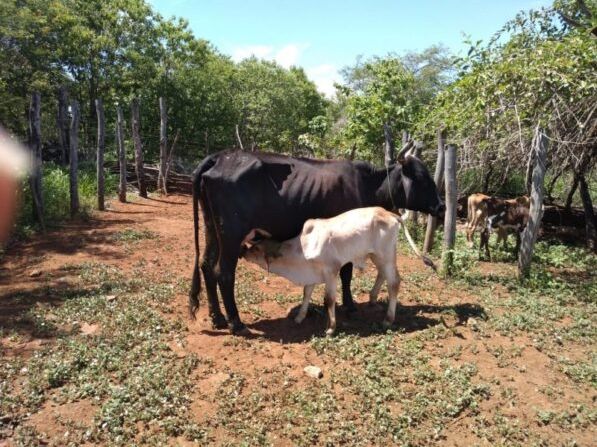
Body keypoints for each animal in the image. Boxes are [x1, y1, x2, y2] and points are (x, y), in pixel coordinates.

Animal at [241, 208, 434, 334]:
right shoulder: (311, 274)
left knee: (394, 283)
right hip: (376, 256)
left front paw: (331, 327)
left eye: (256, 249)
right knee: (383, 274)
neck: (303, 247)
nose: (243, 250)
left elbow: (329, 299)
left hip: (386, 256)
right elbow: (306, 294)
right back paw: (373, 299)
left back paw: (388, 319)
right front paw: (299, 317)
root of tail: (391, 214)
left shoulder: (331, 271)